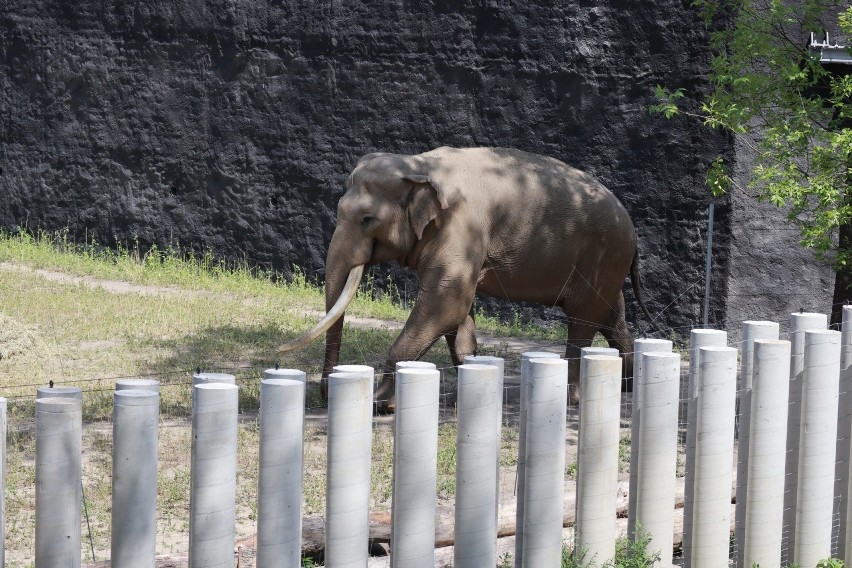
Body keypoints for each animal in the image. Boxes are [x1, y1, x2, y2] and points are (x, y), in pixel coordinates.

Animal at [280, 146, 652, 412]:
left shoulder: (461, 226)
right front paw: (466, 393)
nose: (325, 394)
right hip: (608, 263)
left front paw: (380, 403)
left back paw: (572, 398)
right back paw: (630, 382)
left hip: (602, 253)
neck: (419, 165)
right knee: (611, 316)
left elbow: (446, 302)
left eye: (367, 219)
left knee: (583, 320)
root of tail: (632, 229)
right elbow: (456, 314)